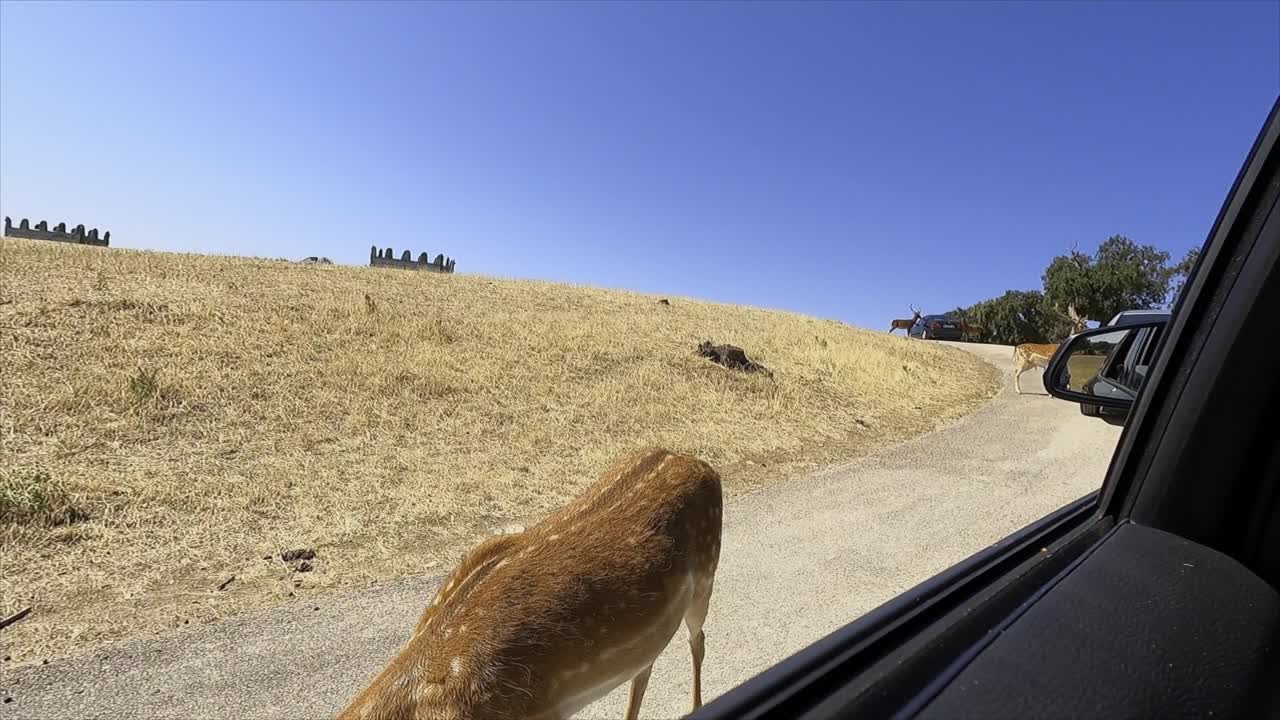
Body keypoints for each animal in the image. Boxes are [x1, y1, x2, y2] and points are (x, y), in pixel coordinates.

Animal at [336, 448, 723, 720]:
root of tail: (697, 461)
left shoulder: (539, 711)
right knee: (647, 663)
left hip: (707, 569)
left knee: (698, 638)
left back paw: (696, 706)